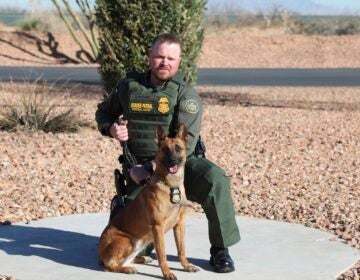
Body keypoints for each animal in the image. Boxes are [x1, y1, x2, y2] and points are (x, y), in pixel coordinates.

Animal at [98, 124, 200, 280]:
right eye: (165, 149)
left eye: (178, 148)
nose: (173, 161)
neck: (171, 185)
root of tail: (100, 252)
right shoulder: (158, 227)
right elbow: (162, 255)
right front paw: (167, 273)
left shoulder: (179, 224)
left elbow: (181, 250)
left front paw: (186, 266)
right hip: (128, 241)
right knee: (110, 266)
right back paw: (127, 269)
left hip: (140, 242)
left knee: (126, 260)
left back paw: (140, 260)